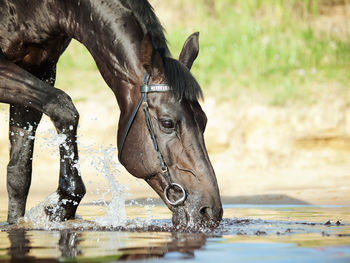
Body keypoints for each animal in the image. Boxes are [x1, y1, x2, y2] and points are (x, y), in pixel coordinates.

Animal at [0, 0, 223, 228]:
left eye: (204, 120)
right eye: (167, 123)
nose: (210, 211)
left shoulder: (41, 71)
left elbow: (19, 174)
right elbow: (63, 107)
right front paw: (63, 202)